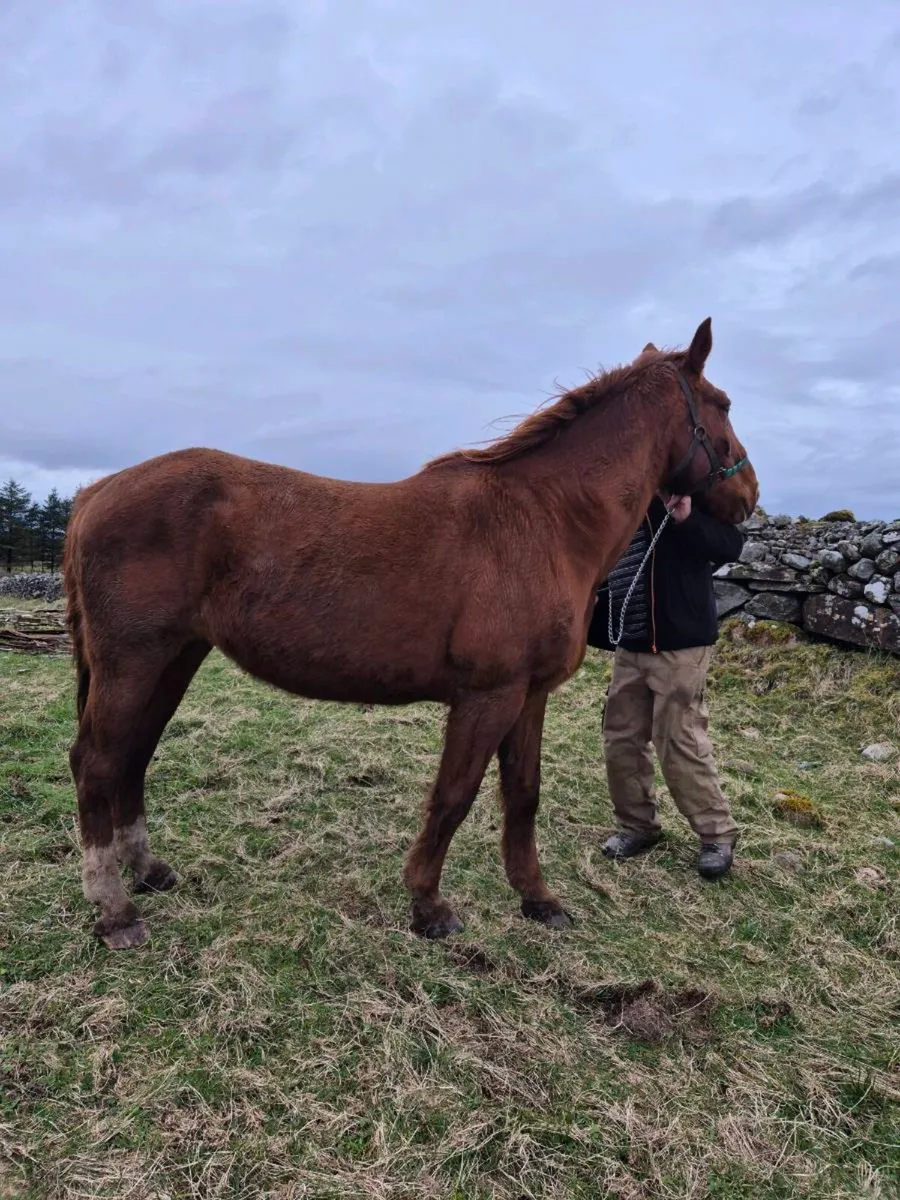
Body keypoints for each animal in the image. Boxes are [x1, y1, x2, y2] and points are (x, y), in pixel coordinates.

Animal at [63, 317, 759, 950]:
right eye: (723, 404)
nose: (749, 496)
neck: (543, 521)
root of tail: (95, 492)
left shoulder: (528, 696)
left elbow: (523, 795)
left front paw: (538, 900)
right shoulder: (487, 696)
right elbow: (453, 797)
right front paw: (429, 907)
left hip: (174, 658)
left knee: (133, 756)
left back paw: (146, 871)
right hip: (133, 663)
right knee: (97, 763)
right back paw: (115, 912)